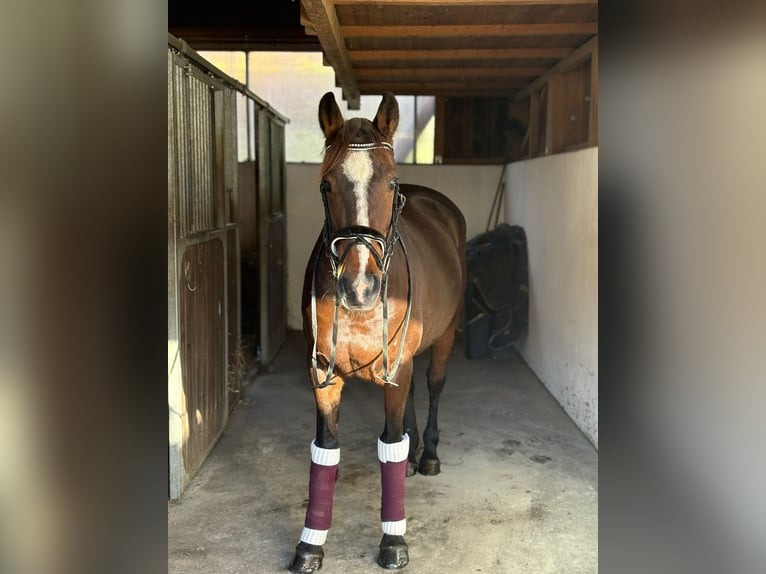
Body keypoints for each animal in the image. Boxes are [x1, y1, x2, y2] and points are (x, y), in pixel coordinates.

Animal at [289, 92, 467, 573]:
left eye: (390, 184)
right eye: (327, 185)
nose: (360, 287)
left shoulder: (399, 366)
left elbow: (388, 441)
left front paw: (393, 540)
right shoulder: (322, 374)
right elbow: (326, 448)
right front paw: (310, 544)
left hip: (444, 338)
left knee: (434, 385)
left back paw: (428, 454)